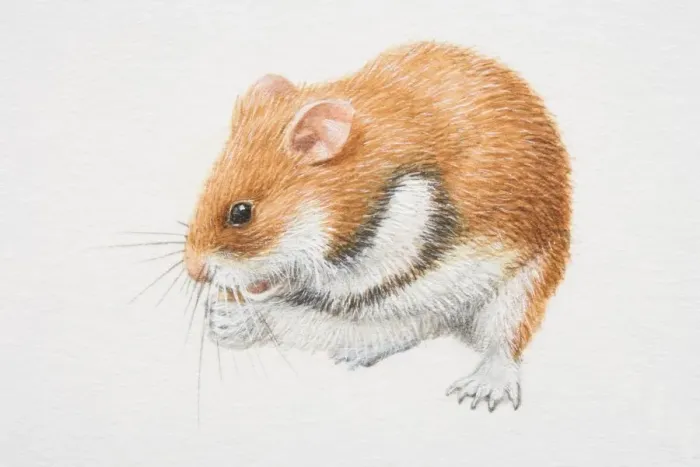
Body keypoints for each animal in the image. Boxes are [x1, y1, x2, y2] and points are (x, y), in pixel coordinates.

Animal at [184, 41, 571, 411]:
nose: (193, 271)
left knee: (503, 341)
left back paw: (480, 391)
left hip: (523, 286)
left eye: (241, 213)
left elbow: (306, 310)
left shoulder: (386, 267)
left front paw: (222, 318)